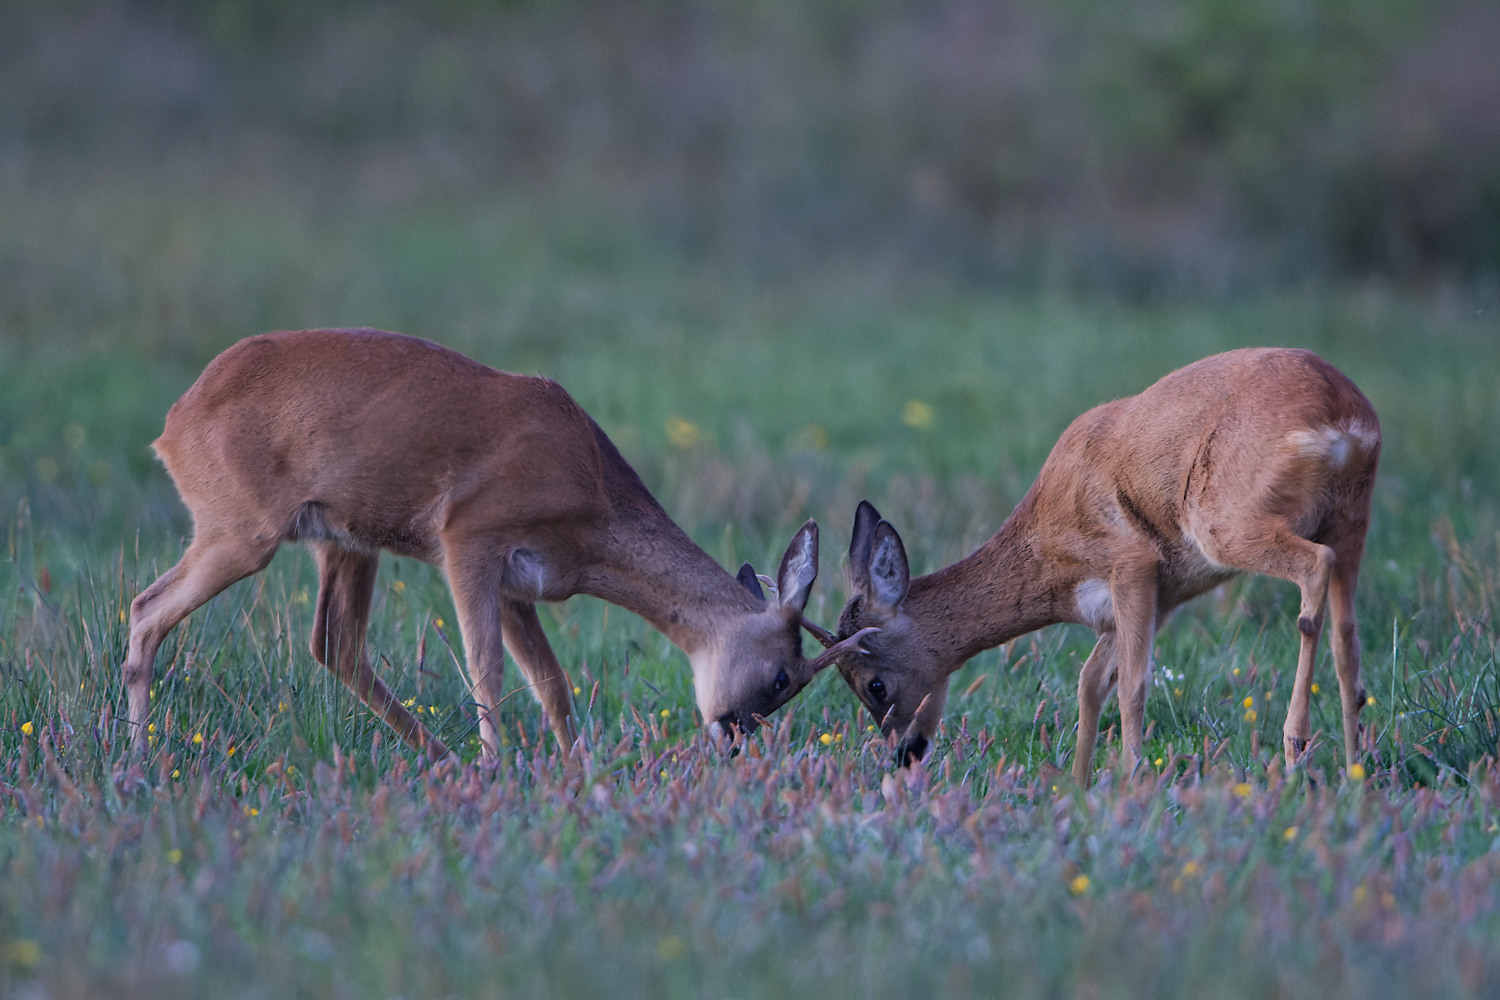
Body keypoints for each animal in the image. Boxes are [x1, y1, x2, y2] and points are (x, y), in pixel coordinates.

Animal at [123, 326, 876, 758]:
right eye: (783, 676)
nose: (733, 735)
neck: (590, 483)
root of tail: (173, 424)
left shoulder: (521, 586)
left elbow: (553, 684)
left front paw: (576, 774)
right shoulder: (467, 543)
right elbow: (486, 671)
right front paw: (498, 766)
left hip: (344, 545)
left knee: (334, 644)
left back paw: (440, 760)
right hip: (243, 535)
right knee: (145, 611)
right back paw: (139, 759)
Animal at [828, 347, 1374, 785]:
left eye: (874, 683)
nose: (905, 752)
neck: (1046, 551)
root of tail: (1344, 416)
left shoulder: (1131, 565)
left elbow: (1130, 684)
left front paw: (1130, 782)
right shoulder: (1155, 599)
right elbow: (1090, 682)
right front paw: (1078, 786)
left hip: (1229, 525)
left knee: (1313, 572)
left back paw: (1296, 745)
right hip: (1351, 522)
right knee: (1347, 642)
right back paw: (1353, 770)